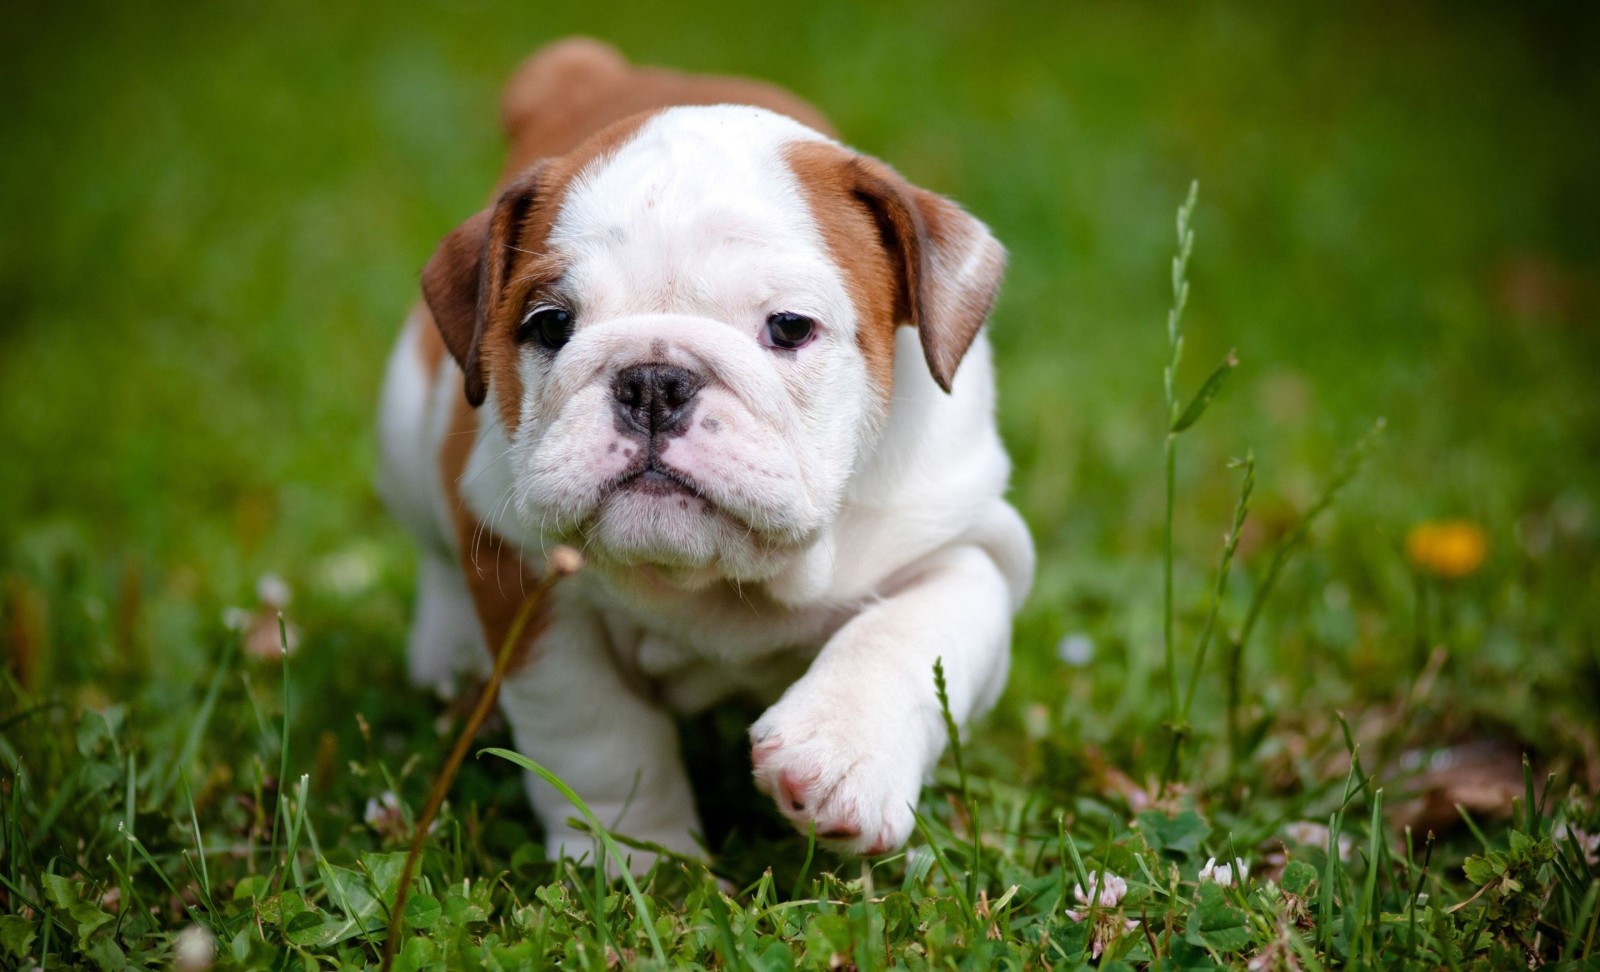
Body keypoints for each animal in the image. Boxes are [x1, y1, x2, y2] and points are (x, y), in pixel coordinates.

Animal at [374, 37, 1030, 863]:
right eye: (550, 324)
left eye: (789, 327)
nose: (654, 382)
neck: (721, 582)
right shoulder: (528, 582)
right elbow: (597, 733)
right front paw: (636, 858)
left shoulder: (971, 544)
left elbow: (911, 632)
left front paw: (840, 755)